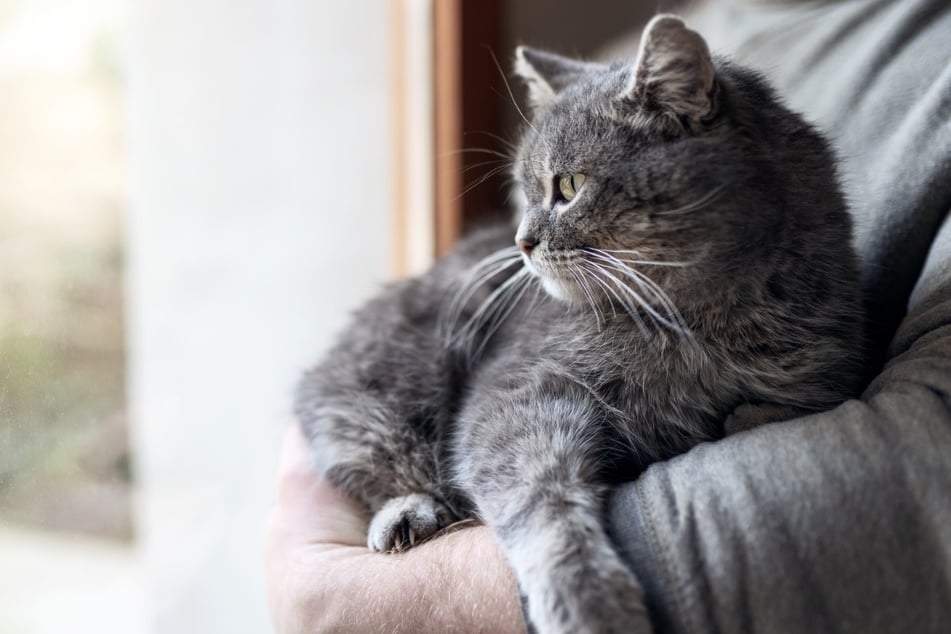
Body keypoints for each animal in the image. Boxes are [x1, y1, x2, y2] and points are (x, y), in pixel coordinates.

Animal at [294, 14, 868, 632]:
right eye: (523, 191)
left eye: (568, 186)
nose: (521, 241)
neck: (698, 329)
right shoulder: (512, 400)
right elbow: (543, 505)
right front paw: (590, 600)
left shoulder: (825, 375)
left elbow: (771, 410)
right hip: (381, 379)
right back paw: (405, 514)